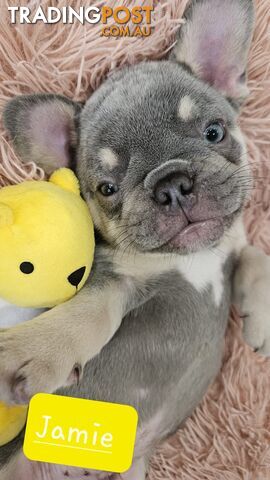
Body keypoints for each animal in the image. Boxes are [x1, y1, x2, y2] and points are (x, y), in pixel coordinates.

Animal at [0, 0, 270, 480]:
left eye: (214, 132)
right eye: (107, 189)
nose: (172, 185)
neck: (194, 256)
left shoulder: (232, 240)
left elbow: (256, 253)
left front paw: (259, 318)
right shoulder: (117, 281)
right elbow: (84, 316)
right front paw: (32, 350)